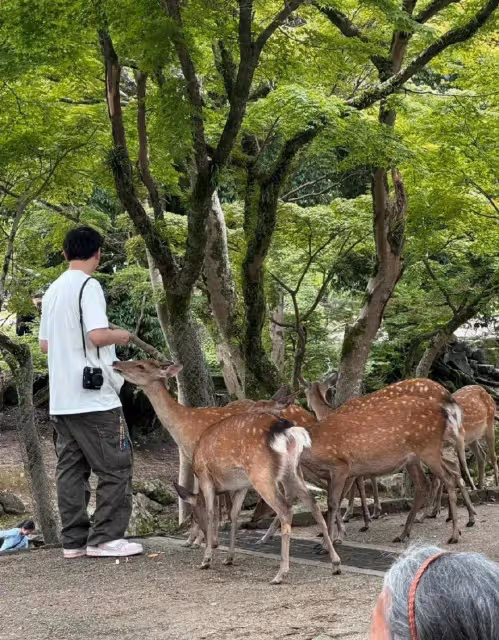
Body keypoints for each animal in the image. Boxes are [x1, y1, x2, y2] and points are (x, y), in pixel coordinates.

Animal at [173, 400, 342, 584]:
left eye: (194, 517)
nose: (214, 544)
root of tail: (288, 432)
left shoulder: (205, 476)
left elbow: (211, 513)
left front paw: (206, 559)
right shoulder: (241, 486)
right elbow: (234, 515)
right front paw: (229, 558)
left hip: (261, 473)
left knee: (285, 509)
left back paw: (280, 573)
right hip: (293, 470)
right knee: (313, 504)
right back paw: (335, 563)